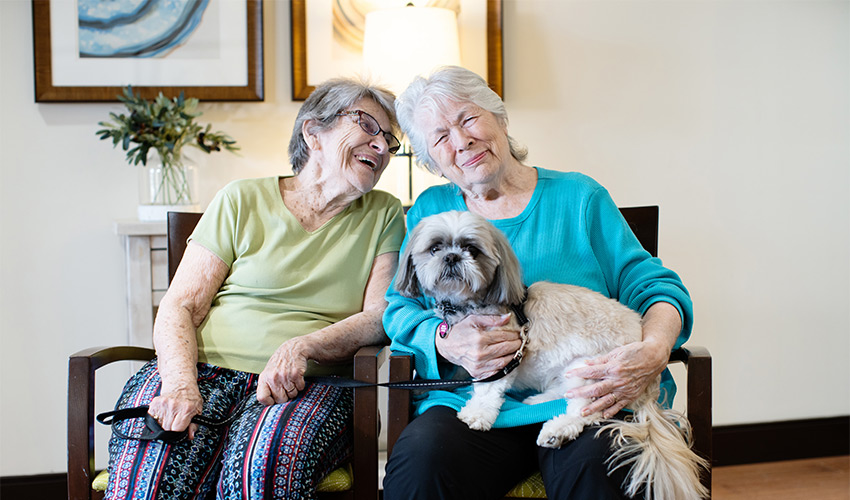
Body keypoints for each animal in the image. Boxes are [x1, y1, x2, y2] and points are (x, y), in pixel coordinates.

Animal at [394, 210, 704, 500]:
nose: (451, 257)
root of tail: (650, 385)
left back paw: (558, 429)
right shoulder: (473, 351)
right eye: (435, 248)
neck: (471, 304)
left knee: (585, 412)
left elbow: (488, 389)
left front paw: (477, 412)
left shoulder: (502, 354)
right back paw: (539, 400)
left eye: (472, 249)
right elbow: (461, 370)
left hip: (593, 370)